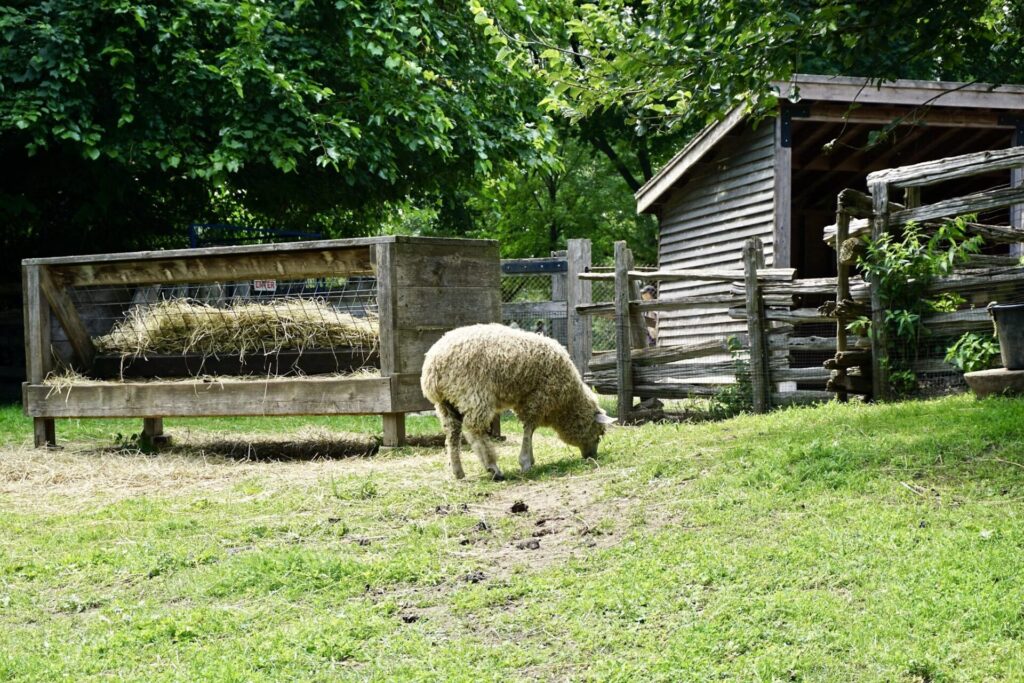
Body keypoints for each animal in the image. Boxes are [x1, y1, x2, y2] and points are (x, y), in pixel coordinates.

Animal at [420, 323, 615, 480]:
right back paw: (493, 468)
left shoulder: (526, 401)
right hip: (473, 394)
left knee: (452, 434)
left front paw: (530, 459)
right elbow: (529, 429)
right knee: (475, 431)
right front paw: (526, 462)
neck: (567, 402)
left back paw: (458, 471)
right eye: (599, 433)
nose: (591, 456)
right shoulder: (538, 399)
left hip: (446, 404)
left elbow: (530, 430)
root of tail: (434, 366)